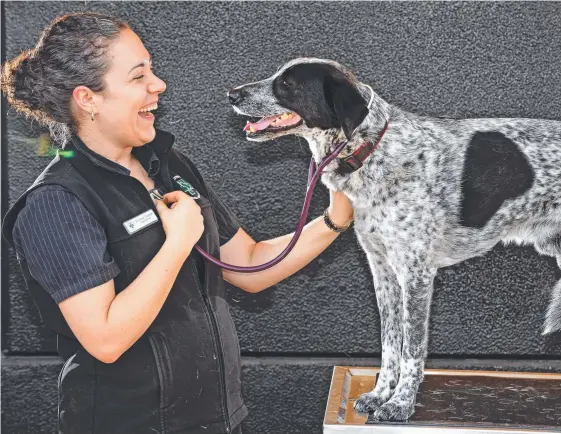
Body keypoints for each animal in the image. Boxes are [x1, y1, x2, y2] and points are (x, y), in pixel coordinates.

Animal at [225, 56, 560, 420]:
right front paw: (379, 394)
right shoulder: (382, 270)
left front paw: (400, 403)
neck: (374, 150)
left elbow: (411, 348)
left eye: (288, 84)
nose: (232, 94)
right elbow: (390, 344)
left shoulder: (416, 274)